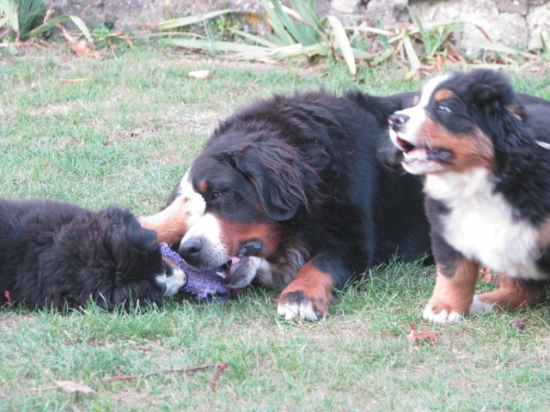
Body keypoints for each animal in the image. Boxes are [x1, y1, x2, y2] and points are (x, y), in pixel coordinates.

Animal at [168, 90, 436, 322]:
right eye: (188, 213)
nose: (188, 250)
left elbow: (319, 265)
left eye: (217, 194)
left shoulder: (353, 238)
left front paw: (300, 296)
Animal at [390, 69, 550, 324]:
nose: (394, 119)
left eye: (444, 108)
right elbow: (454, 271)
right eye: (416, 104)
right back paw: (484, 303)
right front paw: (445, 307)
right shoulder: (446, 225)